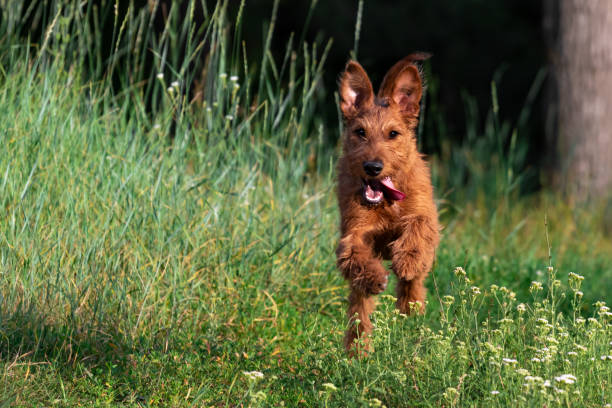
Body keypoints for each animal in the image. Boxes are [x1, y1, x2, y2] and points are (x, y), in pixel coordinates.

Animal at [334, 54, 440, 354]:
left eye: (393, 133)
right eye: (360, 132)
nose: (373, 167)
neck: (387, 200)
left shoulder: (425, 215)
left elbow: (417, 231)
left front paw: (408, 262)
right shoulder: (355, 231)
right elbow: (354, 255)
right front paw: (374, 278)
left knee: (413, 284)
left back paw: (410, 308)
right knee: (359, 308)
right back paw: (358, 348)